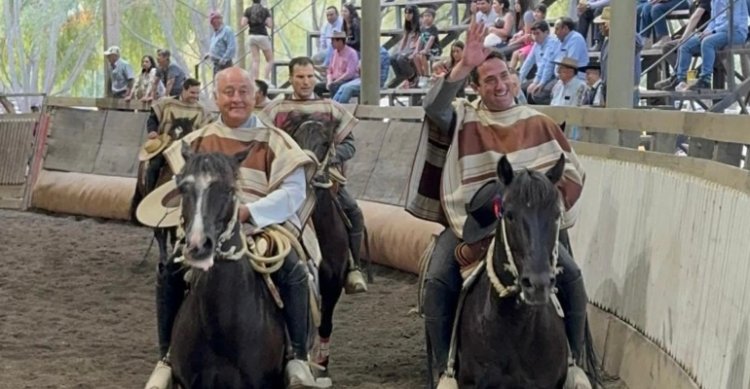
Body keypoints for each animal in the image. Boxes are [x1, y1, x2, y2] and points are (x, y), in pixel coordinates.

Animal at [284, 113, 356, 370]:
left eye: (326, 143)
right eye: (295, 139)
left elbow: (325, 323)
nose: (308, 174)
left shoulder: (334, 282)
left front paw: (322, 360)